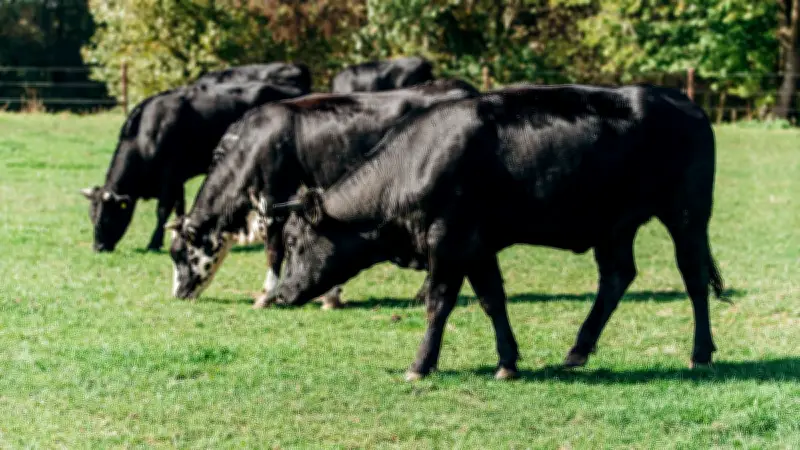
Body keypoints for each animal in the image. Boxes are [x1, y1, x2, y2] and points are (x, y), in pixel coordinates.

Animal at [81, 81, 308, 252]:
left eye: (108, 215)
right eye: (92, 216)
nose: (98, 247)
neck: (147, 135)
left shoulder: (169, 175)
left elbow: (162, 209)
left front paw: (154, 243)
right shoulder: (178, 179)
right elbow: (179, 207)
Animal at [165, 79, 480, 306]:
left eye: (179, 253)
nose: (177, 293)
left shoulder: (275, 204)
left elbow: (274, 252)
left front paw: (266, 296)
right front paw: (330, 295)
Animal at [264, 84, 726, 381]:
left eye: (296, 242)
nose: (283, 293)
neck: (417, 162)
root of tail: (685, 103)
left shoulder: (448, 243)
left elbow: (439, 304)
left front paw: (420, 365)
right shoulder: (477, 247)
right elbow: (492, 300)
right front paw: (507, 362)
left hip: (687, 216)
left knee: (694, 278)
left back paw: (700, 354)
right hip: (614, 226)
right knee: (617, 277)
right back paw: (577, 351)